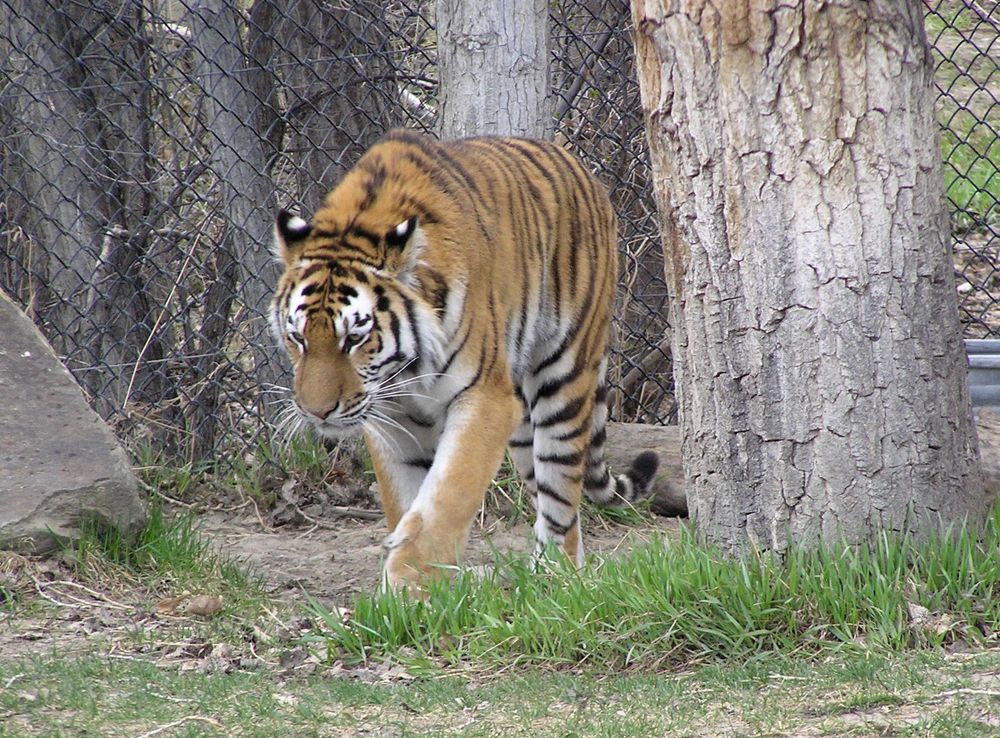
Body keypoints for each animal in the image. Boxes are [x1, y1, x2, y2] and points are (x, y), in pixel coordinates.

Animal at [270, 129, 659, 591]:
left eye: (355, 338)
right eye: (298, 338)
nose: (317, 412)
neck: (403, 370)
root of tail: (579, 166)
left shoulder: (485, 400)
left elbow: (447, 496)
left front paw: (408, 585)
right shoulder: (391, 419)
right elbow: (406, 501)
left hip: (563, 379)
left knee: (562, 494)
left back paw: (556, 578)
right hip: (521, 425)